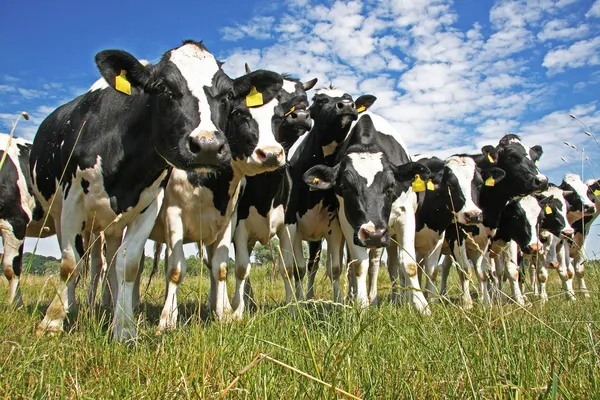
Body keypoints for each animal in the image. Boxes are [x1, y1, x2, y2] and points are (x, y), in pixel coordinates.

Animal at [31, 40, 244, 340]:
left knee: (110, 262)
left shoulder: (148, 207)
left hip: (113, 227)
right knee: (85, 262)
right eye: (164, 88)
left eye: (227, 95)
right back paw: (73, 306)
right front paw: (51, 322)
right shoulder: (73, 201)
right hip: (63, 214)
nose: (208, 146)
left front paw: (124, 328)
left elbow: (128, 265)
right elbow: (70, 263)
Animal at [304, 111, 432, 310]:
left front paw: (422, 306)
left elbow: (409, 264)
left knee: (379, 263)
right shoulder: (347, 222)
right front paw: (362, 305)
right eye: (345, 186)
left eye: (391, 185)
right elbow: (358, 265)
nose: (373, 234)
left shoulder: (405, 215)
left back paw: (382, 298)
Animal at [438, 134, 548, 306]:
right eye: (512, 157)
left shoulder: (496, 240)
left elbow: (499, 271)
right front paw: (468, 303)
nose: (542, 181)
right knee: (445, 268)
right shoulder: (456, 236)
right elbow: (466, 269)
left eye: (535, 158)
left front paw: (505, 301)